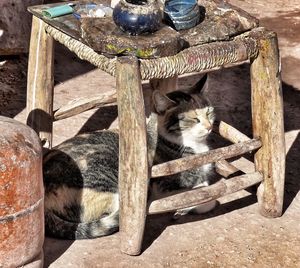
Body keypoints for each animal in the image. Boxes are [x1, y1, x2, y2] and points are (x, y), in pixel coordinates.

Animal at [43, 74, 217, 240]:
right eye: (194, 119)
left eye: (209, 112)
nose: (209, 127)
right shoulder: (161, 185)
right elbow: (205, 198)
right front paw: (186, 205)